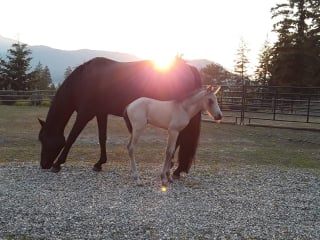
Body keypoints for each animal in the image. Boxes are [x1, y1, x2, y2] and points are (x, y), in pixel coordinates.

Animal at [38, 57, 201, 177]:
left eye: (44, 139)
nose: (43, 165)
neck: (83, 81)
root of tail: (188, 67)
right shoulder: (101, 113)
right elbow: (102, 138)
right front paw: (99, 163)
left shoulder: (85, 115)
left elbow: (71, 138)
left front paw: (57, 164)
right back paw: (174, 167)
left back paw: (176, 170)